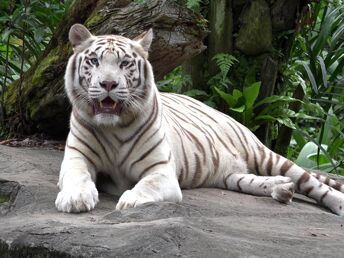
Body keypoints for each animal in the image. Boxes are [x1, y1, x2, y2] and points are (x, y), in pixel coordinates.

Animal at [55, 24, 342, 215]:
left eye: (125, 63)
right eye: (94, 61)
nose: (108, 84)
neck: (113, 128)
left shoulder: (161, 171)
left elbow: (147, 183)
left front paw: (131, 201)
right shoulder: (76, 157)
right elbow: (77, 176)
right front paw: (74, 198)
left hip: (266, 155)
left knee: (314, 183)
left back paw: (330, 202)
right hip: (230, 175)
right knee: (253, 180)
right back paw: (282, 189)